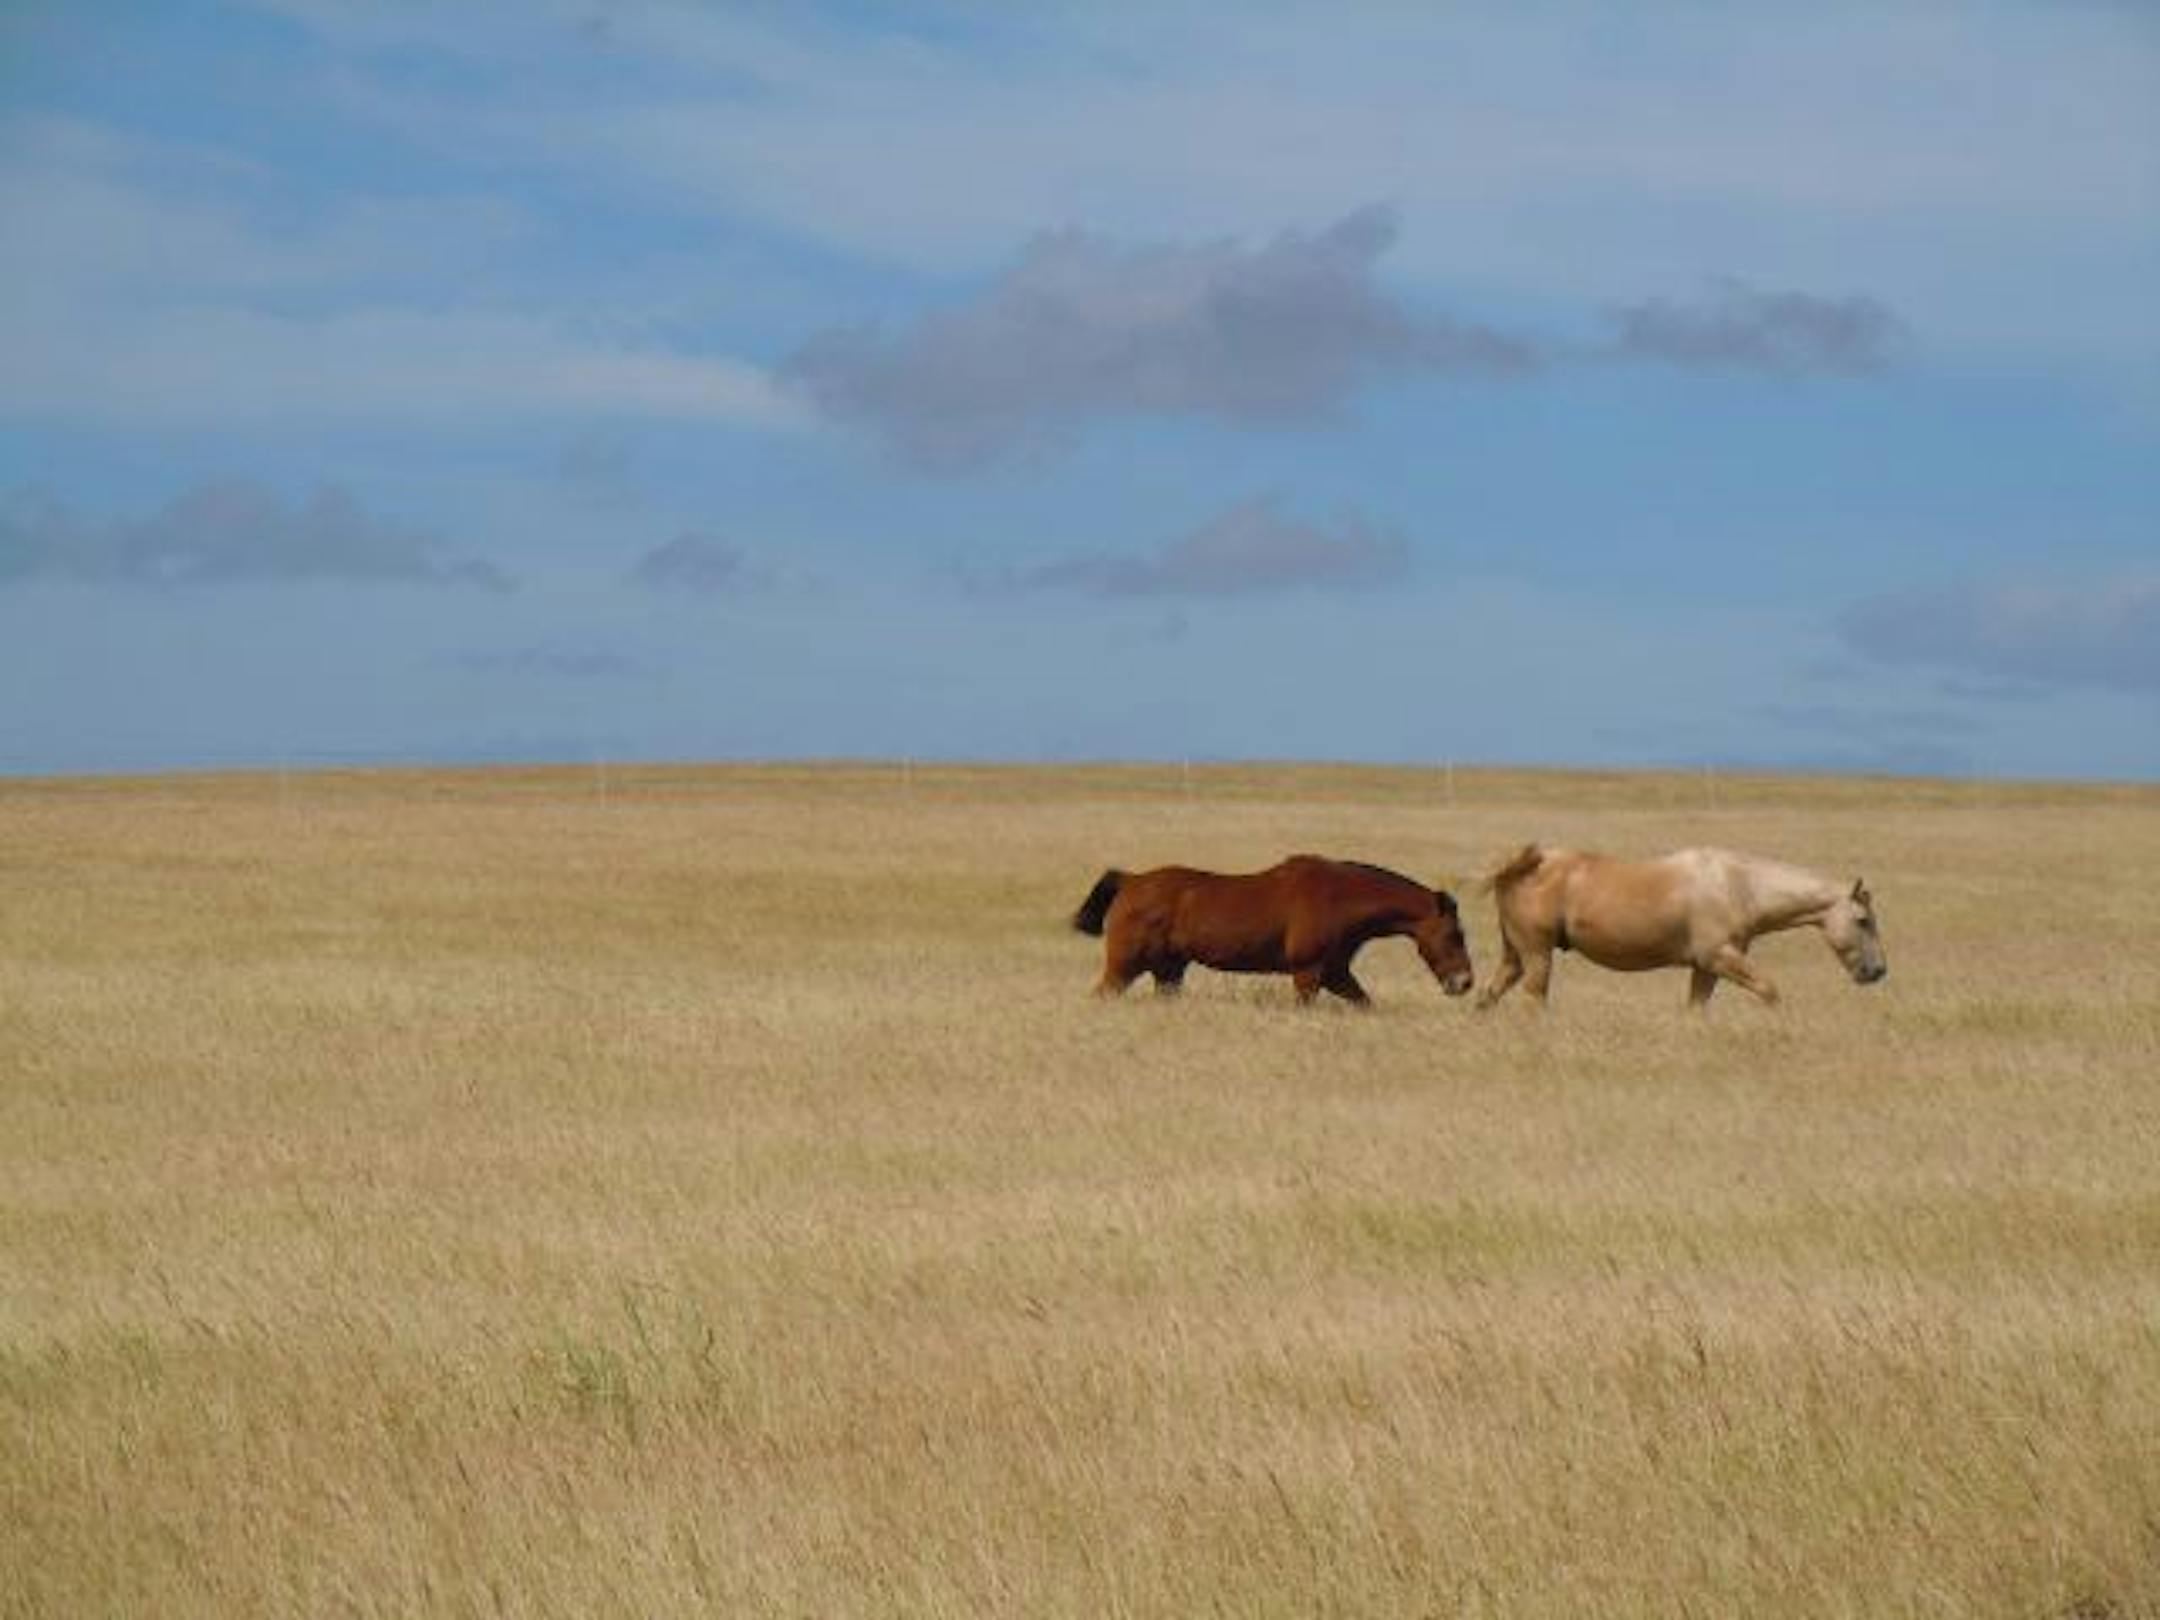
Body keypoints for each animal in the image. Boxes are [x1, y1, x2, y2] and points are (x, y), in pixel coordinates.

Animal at [1071, 855, 1474, 1006]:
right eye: (1455, 936)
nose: (1464, 982)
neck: (1341, 897)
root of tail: (1130, 881)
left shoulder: (1335, 973)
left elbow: (1365, 1003)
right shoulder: (1308, 973)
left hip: (1168, 971)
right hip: (1124, 967)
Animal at [1475, 844, 1886, 1011]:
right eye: (1863, 921)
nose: (1878, 971)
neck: (1739, 886)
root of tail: (1517, 867)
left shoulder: (1705, 968)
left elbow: (1695, 1009)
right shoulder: (1719, 958)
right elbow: (1769, 990)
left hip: (1516, 956)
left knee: (1487, 997)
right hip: (1537, 956)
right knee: (1533, 1001)